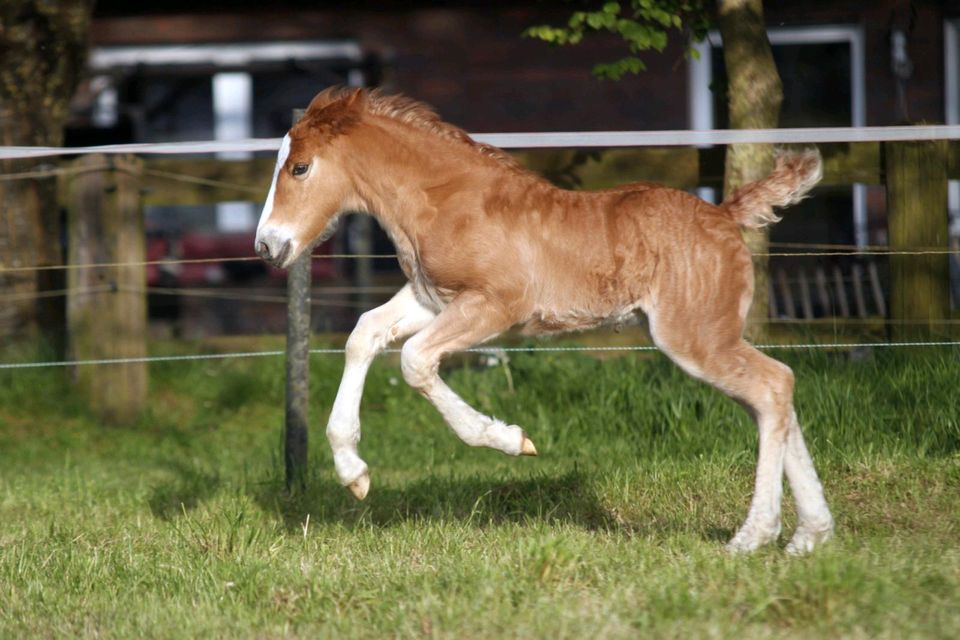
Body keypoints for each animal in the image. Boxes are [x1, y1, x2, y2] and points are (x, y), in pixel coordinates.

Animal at [253, 87, 832, 552]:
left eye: (300, 167)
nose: (267, 246)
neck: (444, 200)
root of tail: (724, 214)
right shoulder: (431, 298)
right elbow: (364, 333)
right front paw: (353, 472)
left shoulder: (497, 304)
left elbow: (415, 361)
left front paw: (511, 440)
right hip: (706, 335)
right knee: (776, 390)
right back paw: (809, 535)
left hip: (695, 336)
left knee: (772, 386)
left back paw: (755, 536)